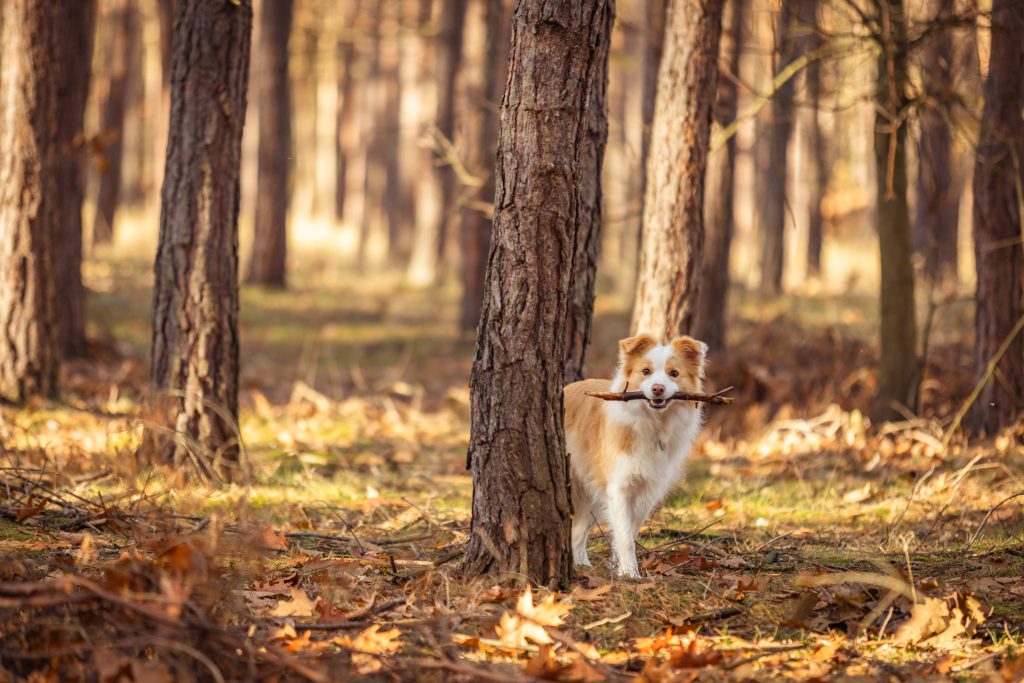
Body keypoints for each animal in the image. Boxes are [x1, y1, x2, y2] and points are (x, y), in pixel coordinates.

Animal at [565, 331, 708, 577]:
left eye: (674, 373)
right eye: (646, 371)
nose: (658, 389)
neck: (654, 423)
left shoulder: (647, 490)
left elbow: (629, 532)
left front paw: (620, 568)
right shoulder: (619, 487)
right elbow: (624, 536)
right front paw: (630, 573)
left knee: (578, 531)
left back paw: (582, 565)